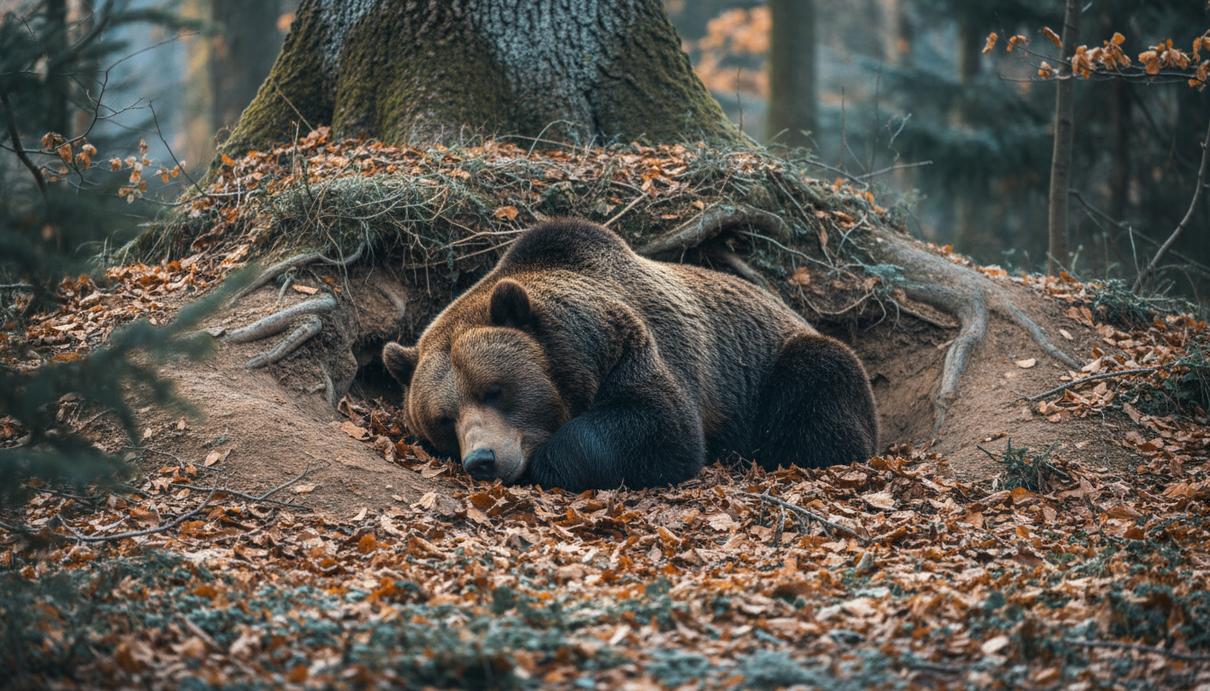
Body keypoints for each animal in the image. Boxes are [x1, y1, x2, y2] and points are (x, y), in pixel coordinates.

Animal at [382, 218, 878, 491]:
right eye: (443, 419)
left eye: (494, 390)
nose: (482, 460)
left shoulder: (630, 344)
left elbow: (662, 426)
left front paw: (548, 461)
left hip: (777, 363)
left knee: (820, 381)